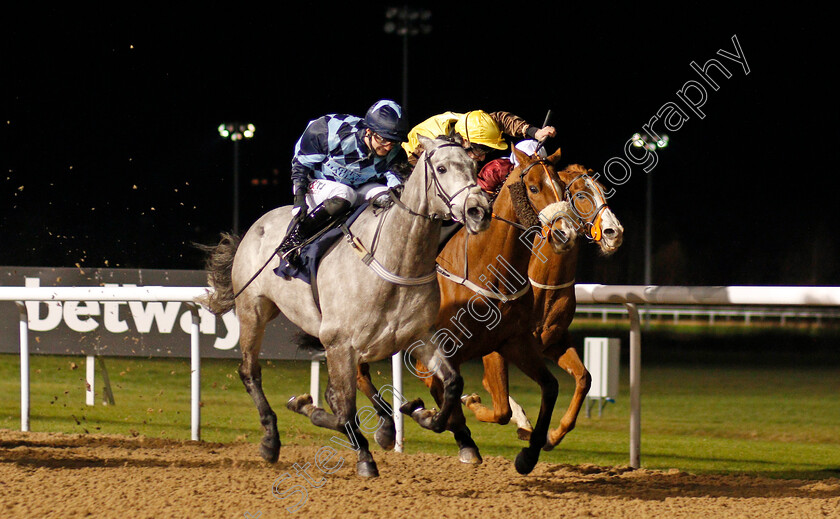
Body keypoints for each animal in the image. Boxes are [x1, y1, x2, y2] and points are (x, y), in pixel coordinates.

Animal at [199, 136, 488, 478]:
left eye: (473, 165)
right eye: (441, 168)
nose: (478, 210)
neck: (396, 260)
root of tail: (256, 226)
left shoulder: (419, 335)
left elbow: (453, 382)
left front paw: (424, 416)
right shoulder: (339, 344)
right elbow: (343, 411)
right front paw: (357, 450)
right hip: (253, 310)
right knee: (249, 371)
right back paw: (270, 439)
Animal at [460, 164, 624, 450]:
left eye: (604, 190)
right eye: (580, 194)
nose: (614, 233)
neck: (544, 284)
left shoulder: (553, 341)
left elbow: (584, 378)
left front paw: (552, 435)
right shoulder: (497, 345)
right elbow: (498, 402)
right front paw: (476, 402)